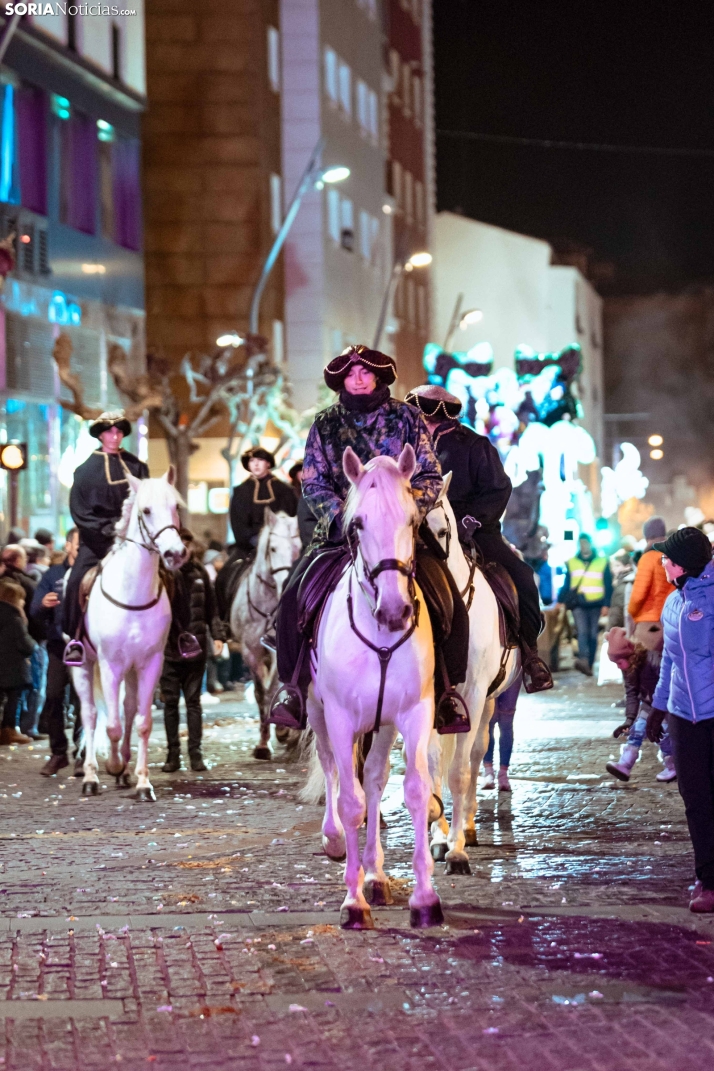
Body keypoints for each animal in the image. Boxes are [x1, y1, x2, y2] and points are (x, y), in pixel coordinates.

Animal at [70, 473, 184, 801]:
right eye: (145, 510)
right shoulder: (110, 665)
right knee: (91, 715)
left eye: (176, 506)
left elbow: (142, 723)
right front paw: (113, 765)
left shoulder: (150, 664)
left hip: (132, 671)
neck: (133, 593)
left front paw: (143, 782)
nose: (175, 554)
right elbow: (111, 725)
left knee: (130, 709)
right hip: (84, 666)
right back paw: (92, 776)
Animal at [230, 511, 299, 758]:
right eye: (273, 548)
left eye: (297, 547)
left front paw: (282, 730)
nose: (284, 583)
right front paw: (262, 744)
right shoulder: (250, 650)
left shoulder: (280, 652)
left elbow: (274, 688)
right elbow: (261, 693)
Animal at [301, 443, 441, 929]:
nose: (395, 611)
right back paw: (334, 840)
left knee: (376, 779)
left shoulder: (413, 712)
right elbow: (350, 802)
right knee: (332, 769)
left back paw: (376, 875)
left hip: (383, 723)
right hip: (317, 710)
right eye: (357, 523)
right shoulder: (341, 717)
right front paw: (352, 902)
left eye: (413, 521)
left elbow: (413, 791)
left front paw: (424, 898)